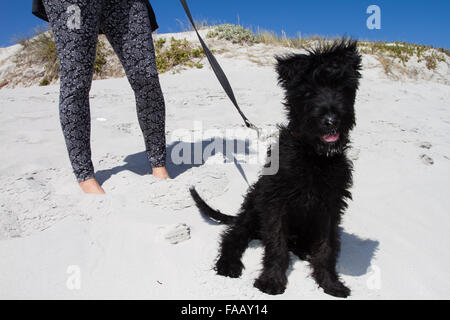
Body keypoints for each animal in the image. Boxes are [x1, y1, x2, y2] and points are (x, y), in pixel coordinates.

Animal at [190, 38, 362, 298]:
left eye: (342, 88)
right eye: (308, 92)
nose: (332, 121)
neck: (313, 155)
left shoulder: (330, 207)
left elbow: (327, 247)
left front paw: (330, 283)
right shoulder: (275, 203)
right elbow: (276, 246)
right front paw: (271, 280)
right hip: (252, 209)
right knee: (234, 235)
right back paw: (228, 264)